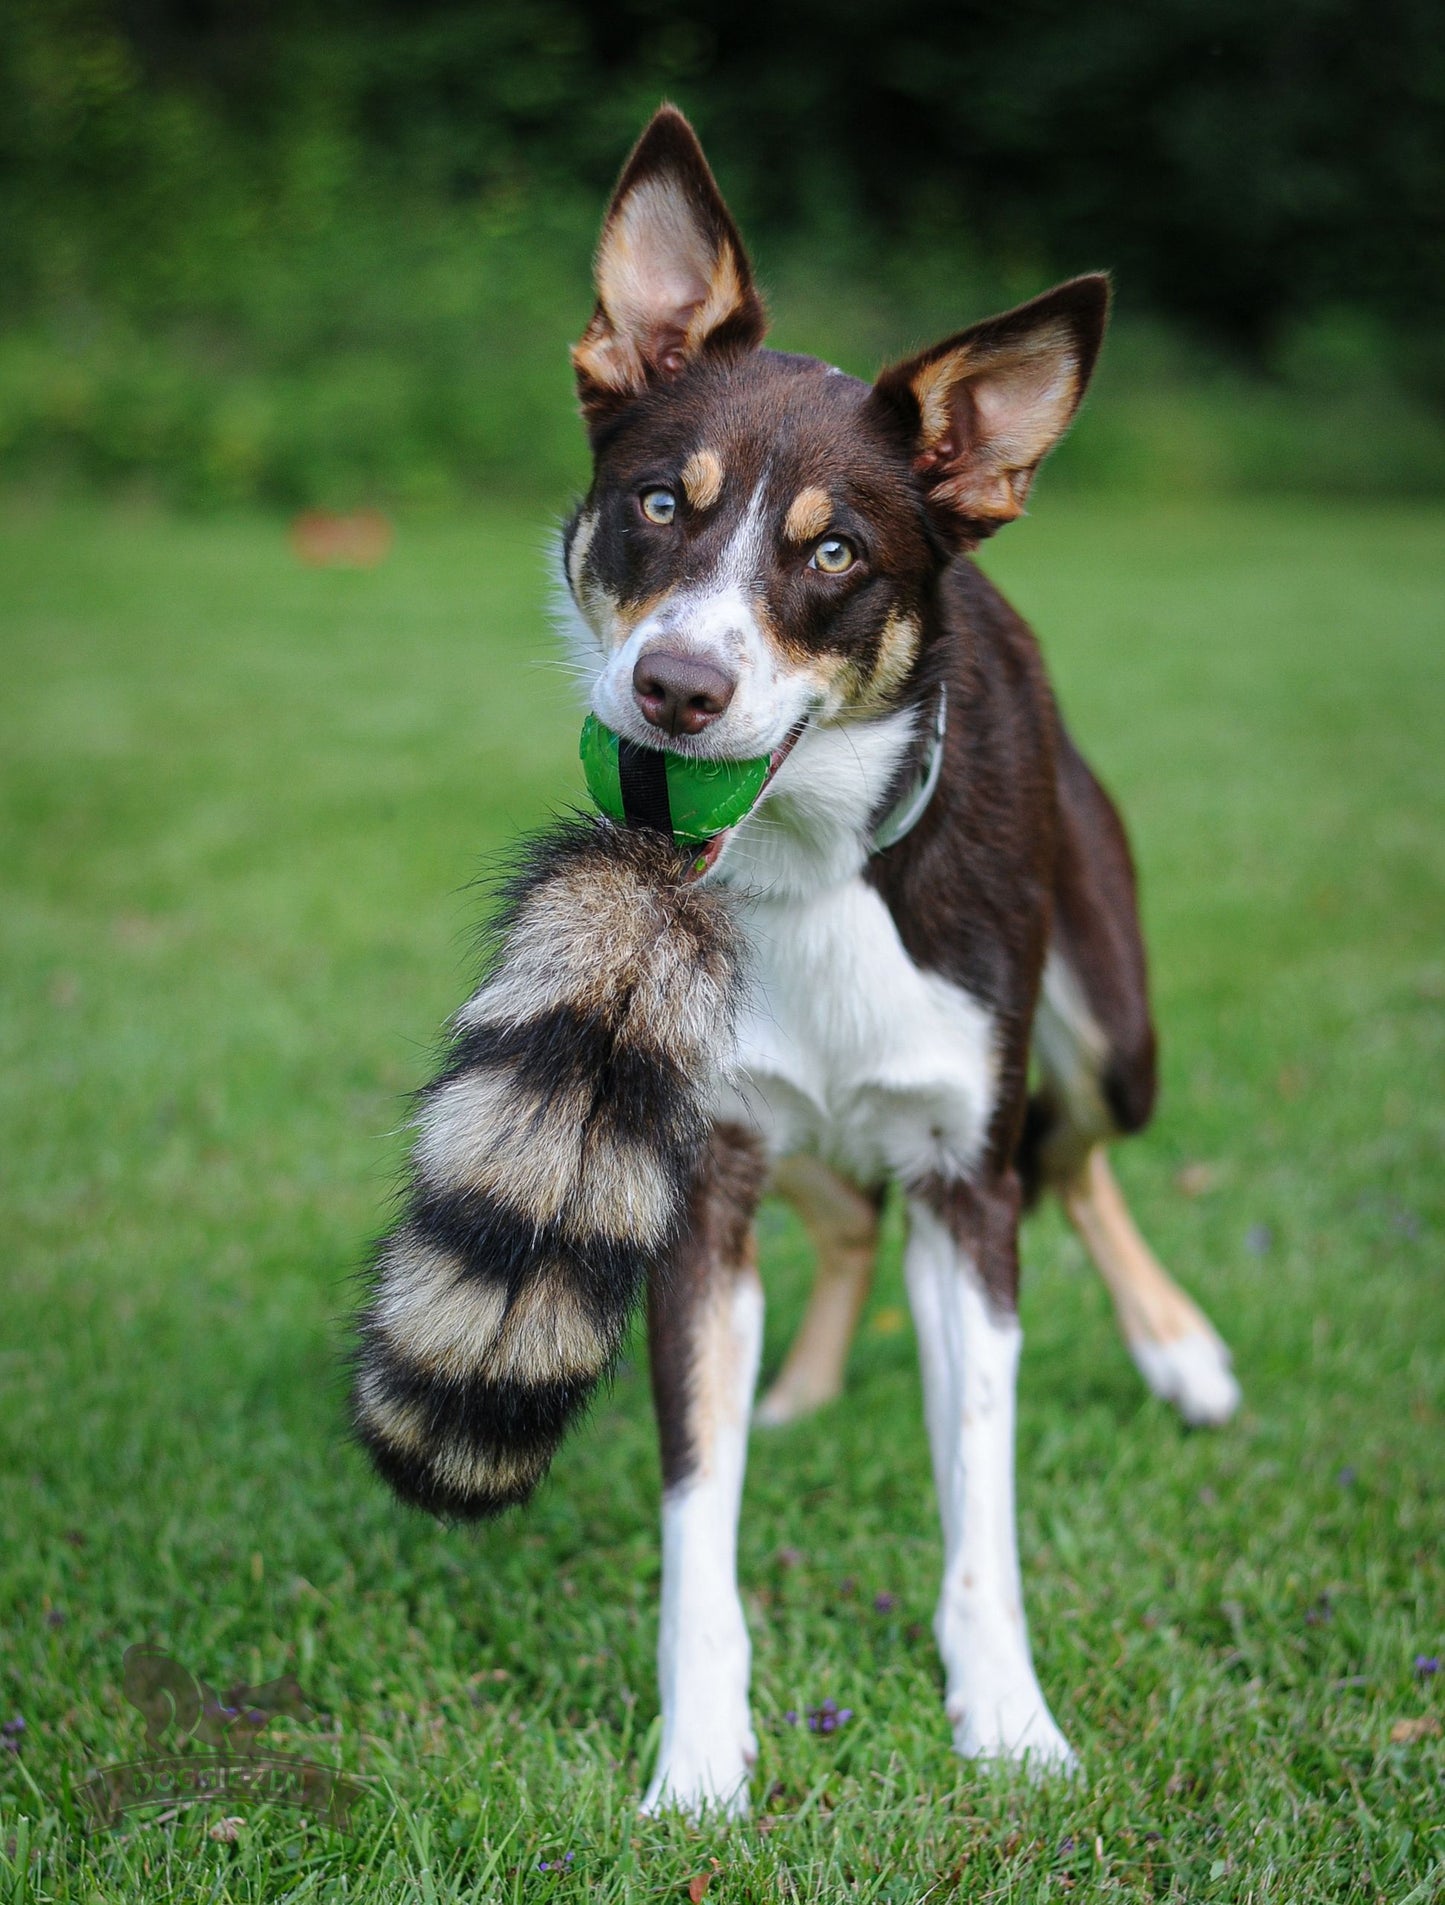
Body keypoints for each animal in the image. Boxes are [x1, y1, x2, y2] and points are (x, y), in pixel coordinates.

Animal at [555, 108, 1241, 1813]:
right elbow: (698, 1513)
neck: (812, 865)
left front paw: (1010, 1723)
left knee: (1074, 1153)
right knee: (847, 1213)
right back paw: (800, 1386)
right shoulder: (703, 1171)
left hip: (1107, 1022)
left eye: (837, 553)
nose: (675, 688)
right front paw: (698, 1758)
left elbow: (979, 1504)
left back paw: (1182, 1354)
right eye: (658, 503)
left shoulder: (960, 1179)